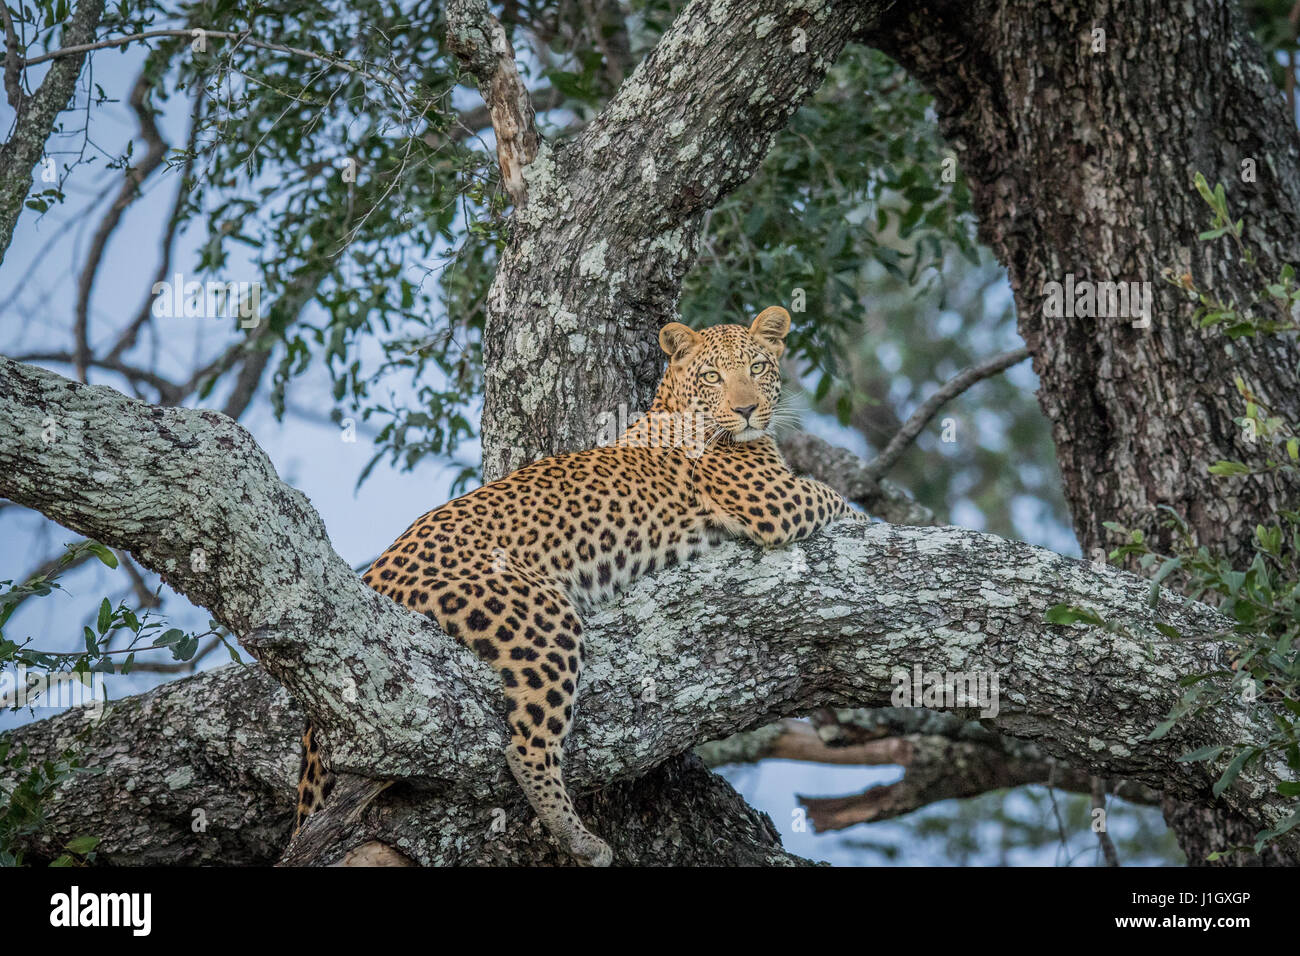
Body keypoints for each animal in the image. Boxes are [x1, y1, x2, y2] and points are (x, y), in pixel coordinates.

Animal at [293, 306, 865, 866]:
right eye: (712, 376)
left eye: (758, 368)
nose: (747, 411)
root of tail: (376, 569)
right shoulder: (776, 502)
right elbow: (836, 498)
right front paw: (865, 517)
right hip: (542, 618)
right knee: (526, 746)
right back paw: (580, 840)